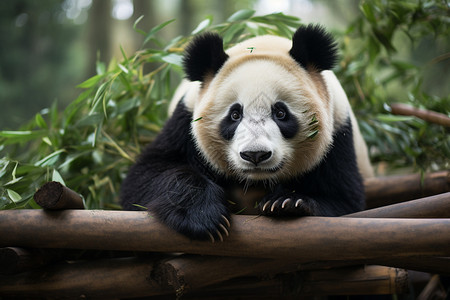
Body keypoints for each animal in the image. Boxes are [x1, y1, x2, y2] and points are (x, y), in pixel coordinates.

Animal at [121, 24, 374, 243]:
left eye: (280, 113)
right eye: (235, 114)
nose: (255, 155)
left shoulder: (338, 132)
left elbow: (344, 200)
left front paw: (287, 202)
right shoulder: (185, 121)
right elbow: (148, 175)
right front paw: (205, 217)